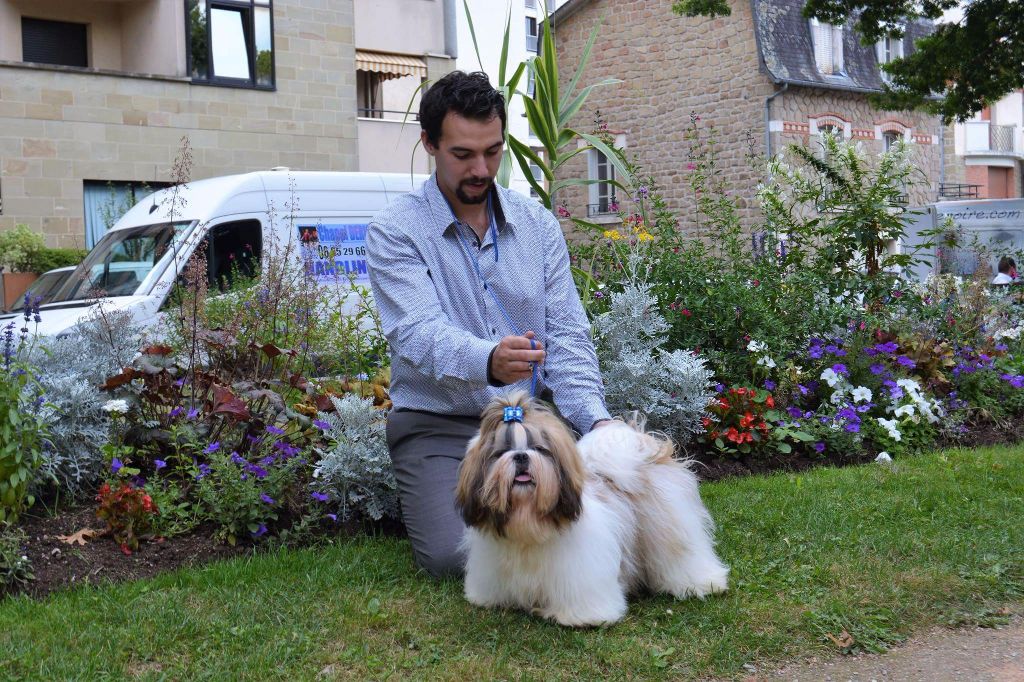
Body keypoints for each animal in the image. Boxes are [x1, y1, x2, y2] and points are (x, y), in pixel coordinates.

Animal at [456, 391, 729, 622]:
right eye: (501, 452)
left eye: (539, 449)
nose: (521, 456)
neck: (528, 520)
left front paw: (583, 617)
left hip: (672, 528)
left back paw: (703, 582)